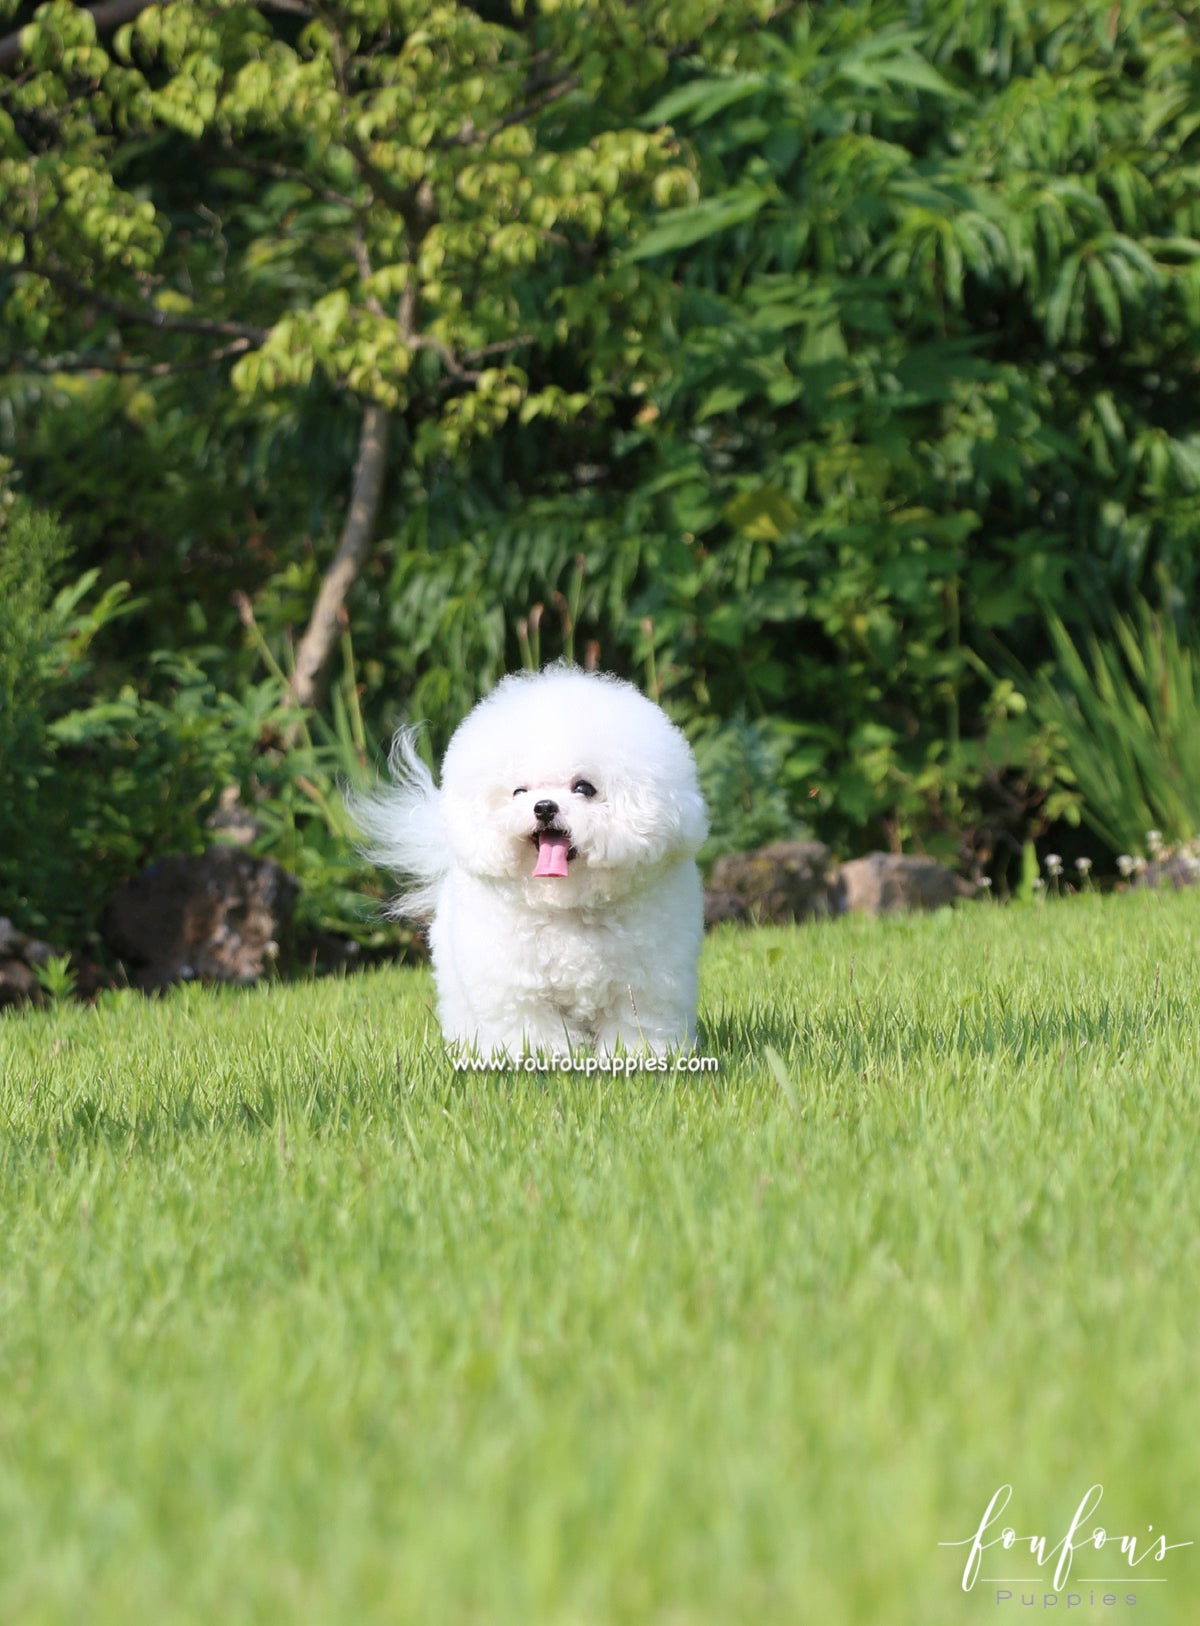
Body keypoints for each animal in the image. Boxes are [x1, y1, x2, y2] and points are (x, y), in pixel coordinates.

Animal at [354, 660, 708, 1053]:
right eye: (519, 792)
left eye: (584, 788)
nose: (543, 807)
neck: (567, 905)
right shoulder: (517, 986)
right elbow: (533, 1028)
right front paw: (543, 1058)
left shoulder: (647, 981)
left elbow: (636, 1024)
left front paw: (639, 1056)